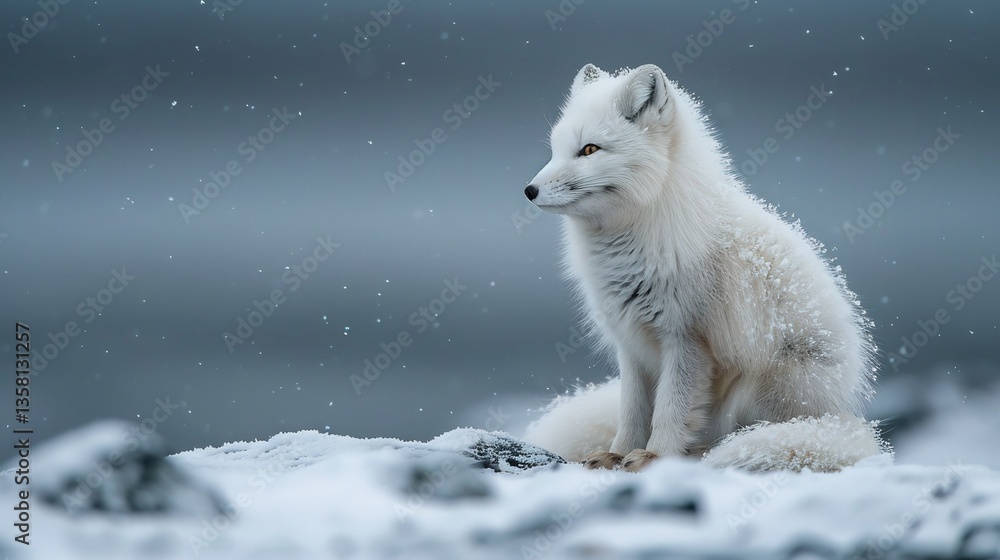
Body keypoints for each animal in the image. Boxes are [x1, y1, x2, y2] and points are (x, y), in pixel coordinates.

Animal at [521, 63, 888, 472]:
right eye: (554, 150)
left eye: (589, 149)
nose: (529, 190)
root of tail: (841, 416)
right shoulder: (631, 345)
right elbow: (632, 410)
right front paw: (618, 453)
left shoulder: (688, 339)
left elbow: (671, 409)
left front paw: (654, 456)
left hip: (759, 384)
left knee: (741, 435)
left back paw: (700, 453)